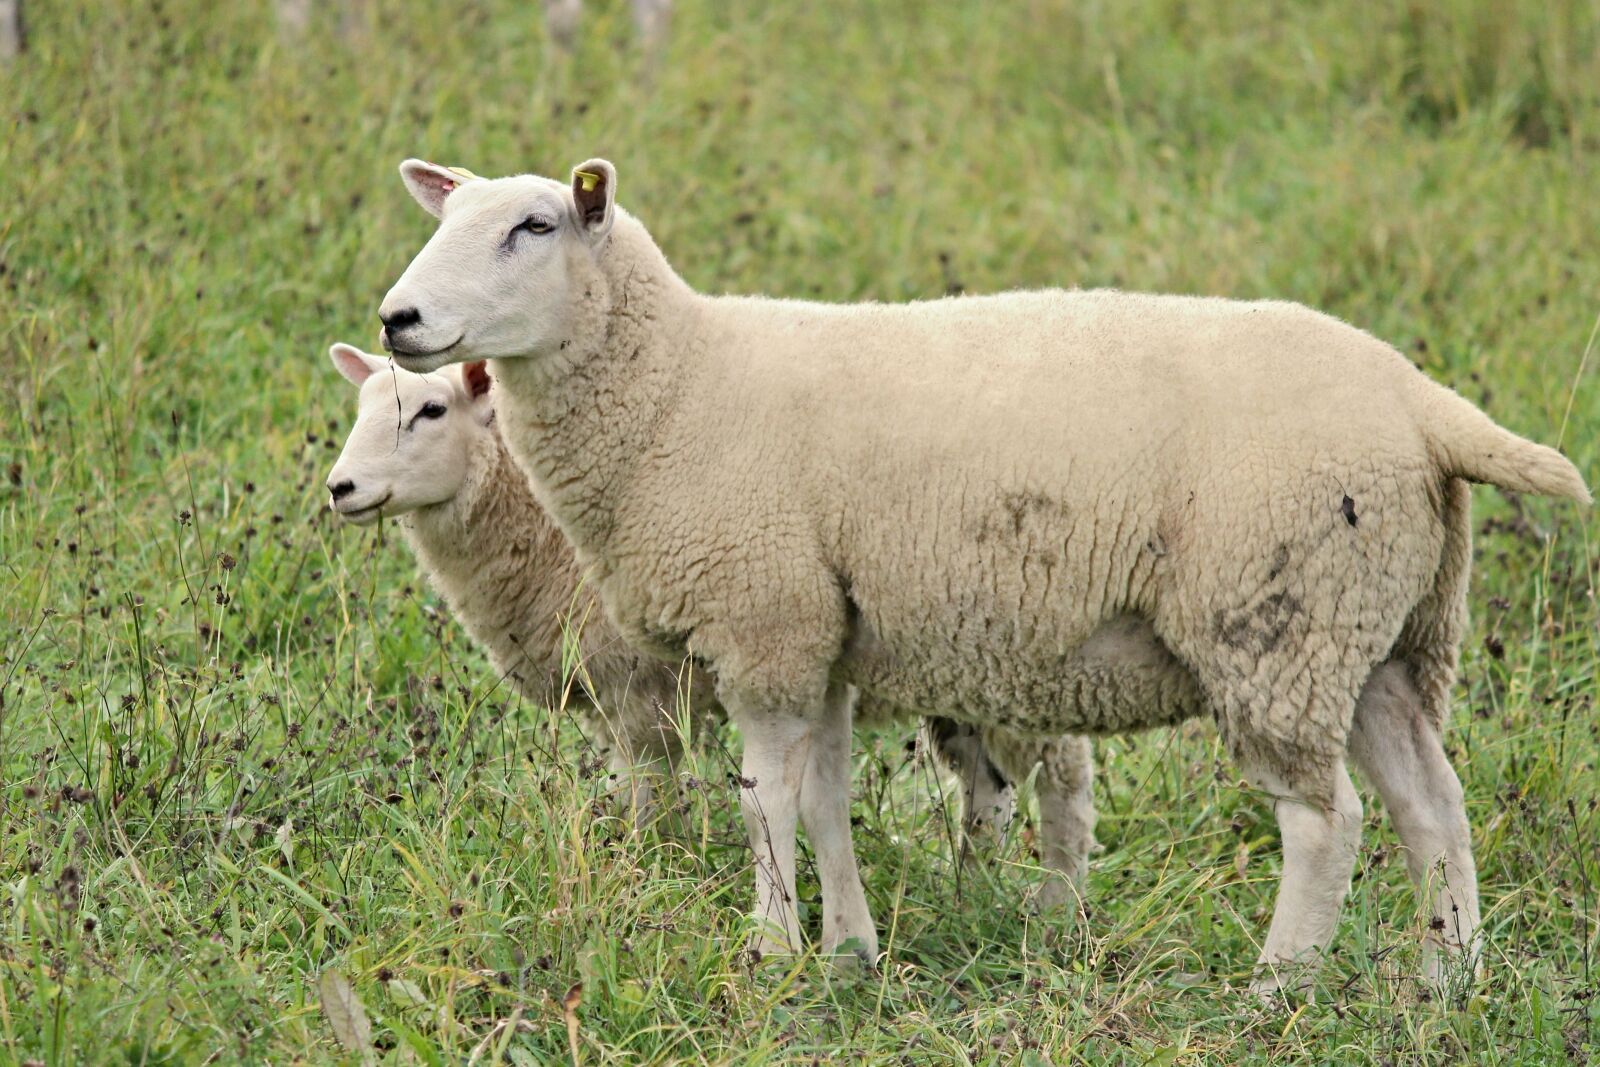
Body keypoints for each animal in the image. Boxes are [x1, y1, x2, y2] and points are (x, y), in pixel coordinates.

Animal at [322, 341, 1066, 857]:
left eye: (431, 409)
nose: (340, 488)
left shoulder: (642, 693)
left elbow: (648, 796)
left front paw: (649, 867)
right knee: (989, 787)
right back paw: (974, 882)